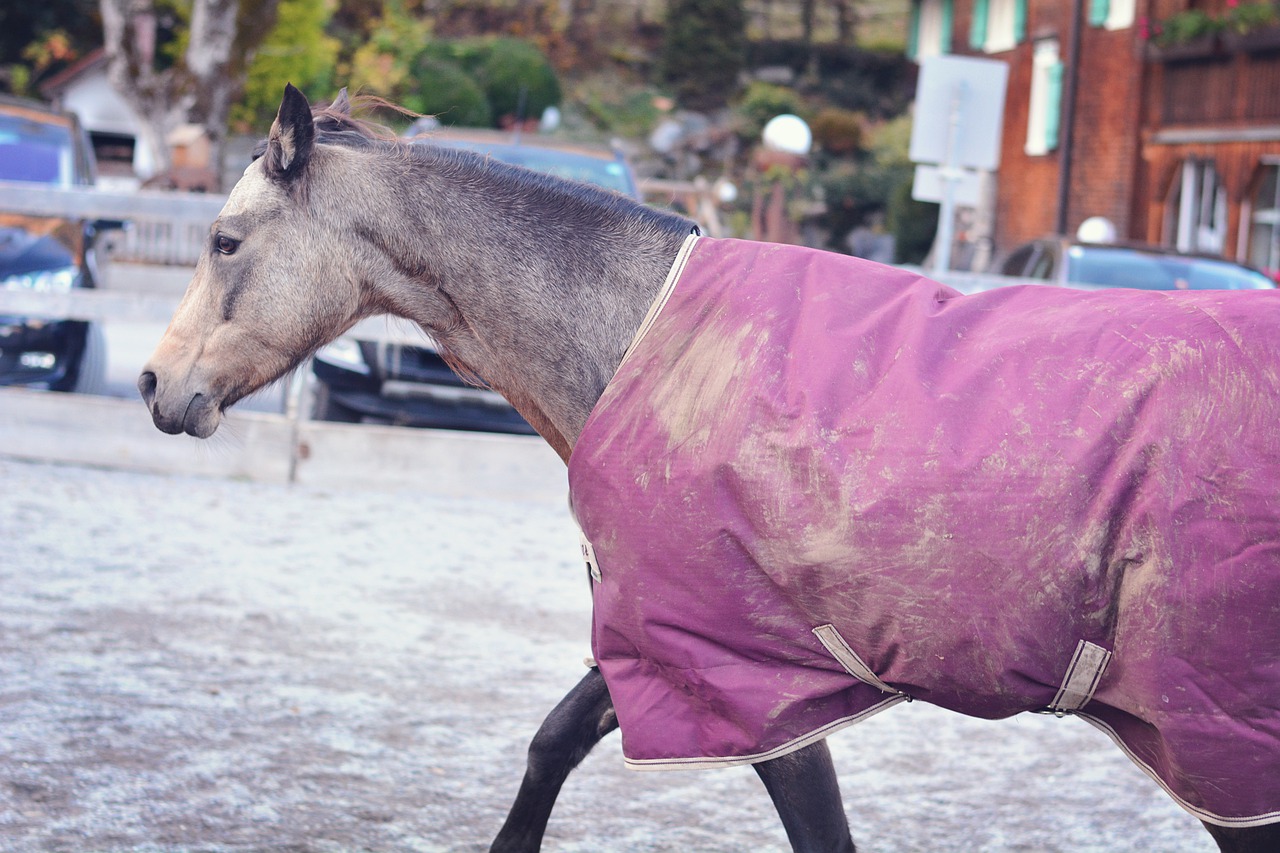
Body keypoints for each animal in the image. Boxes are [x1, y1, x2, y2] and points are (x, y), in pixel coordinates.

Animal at [139, 84, 1280, 852]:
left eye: (225, 239)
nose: (156, 382)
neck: (649, 337)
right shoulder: (666, 649)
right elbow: (553, 739)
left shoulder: (752, 687)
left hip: (1218, 748)